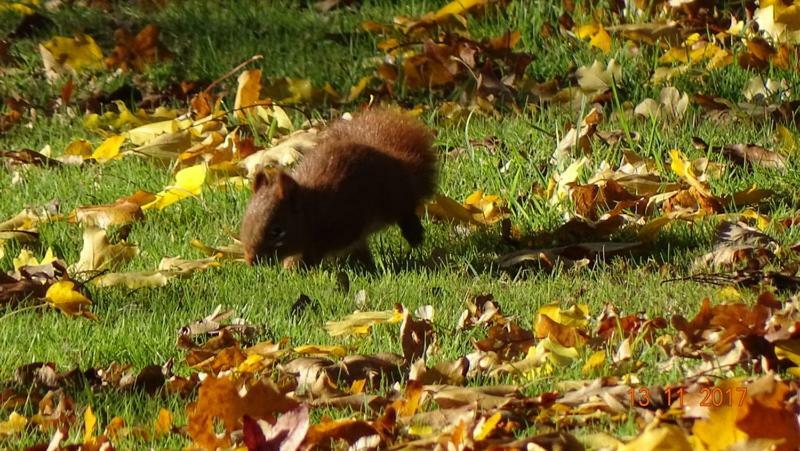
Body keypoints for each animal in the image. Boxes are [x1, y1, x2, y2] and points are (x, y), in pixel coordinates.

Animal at [239, 108, 438, 268]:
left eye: (277, 231)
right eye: (246, 222)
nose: (250, 261)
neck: (313, 210)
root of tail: (398, 161)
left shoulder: (343, 223)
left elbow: (323, 248)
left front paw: (302, 265)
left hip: (392, 197)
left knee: (405, 208)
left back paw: (414, 234)